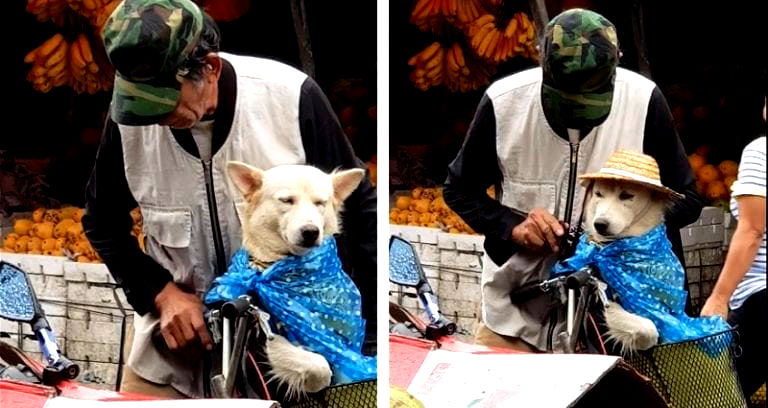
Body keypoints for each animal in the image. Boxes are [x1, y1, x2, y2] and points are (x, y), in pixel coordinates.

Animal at [225, 162, 366, 398]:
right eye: (287, 200)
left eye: (320, 203)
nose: (310, 232)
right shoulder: (267, 335)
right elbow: (320, 367)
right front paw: (315, 385)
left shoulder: (342, 340)